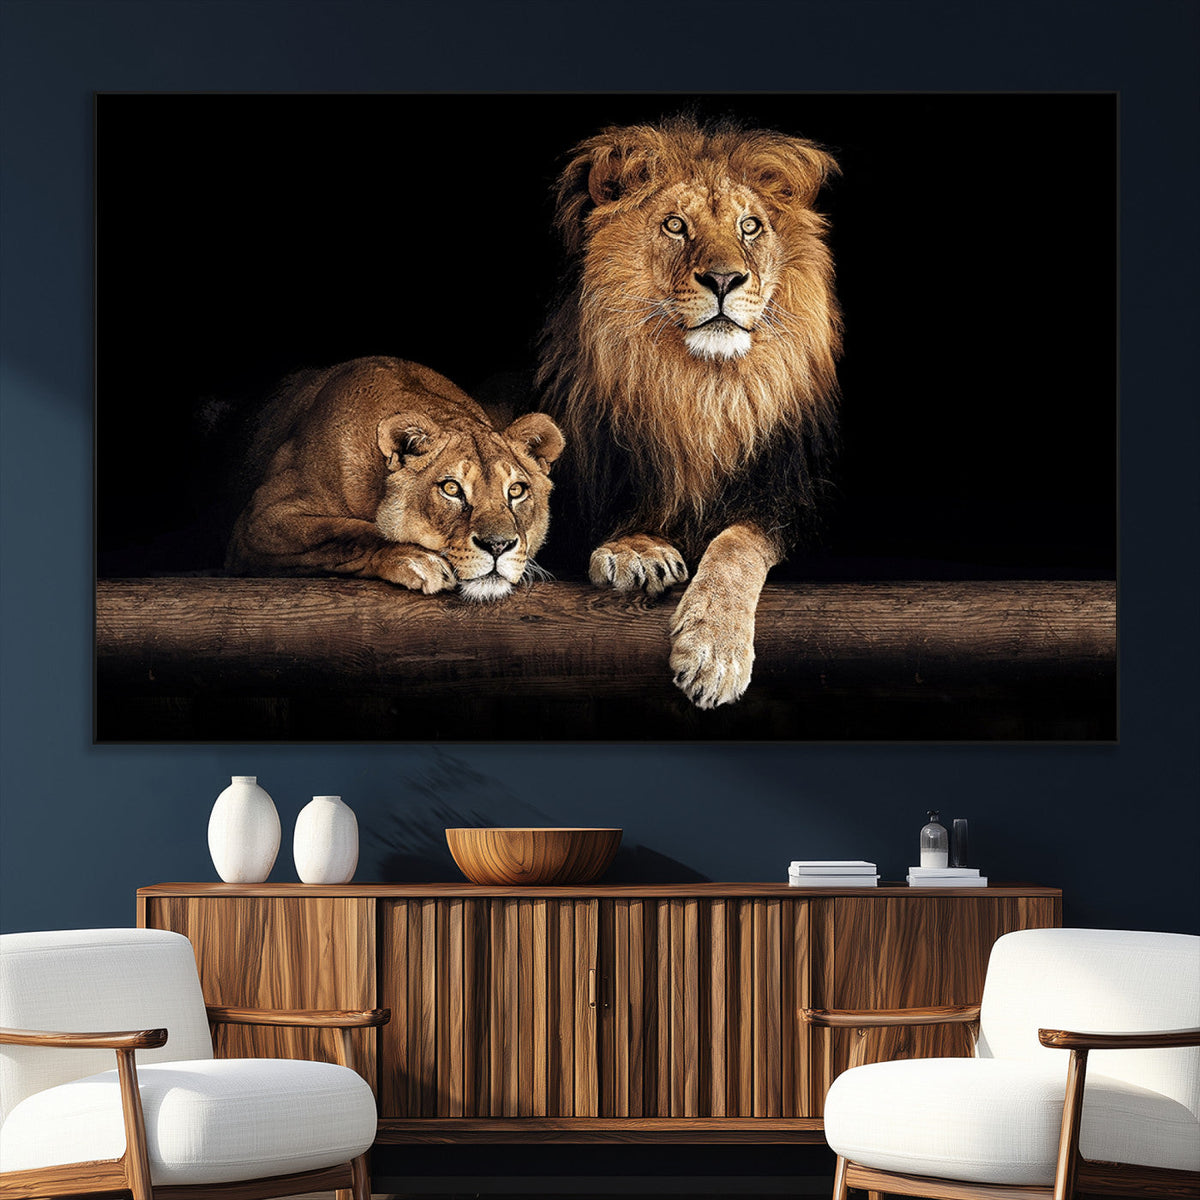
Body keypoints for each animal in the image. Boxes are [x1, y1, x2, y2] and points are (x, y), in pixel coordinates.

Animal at [226, 357, 565, 602]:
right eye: (451, 488)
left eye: (516, 490)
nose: (498, 545)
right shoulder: (261, 519)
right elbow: (348, 533)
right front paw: (418, 559)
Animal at [537, 115, 842, 708]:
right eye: (675, 226)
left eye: (750, 226)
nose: (724, 279)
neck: (701, 390)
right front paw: (637, 550)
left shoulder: (792, 501)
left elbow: (737, 543)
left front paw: (714, 651)